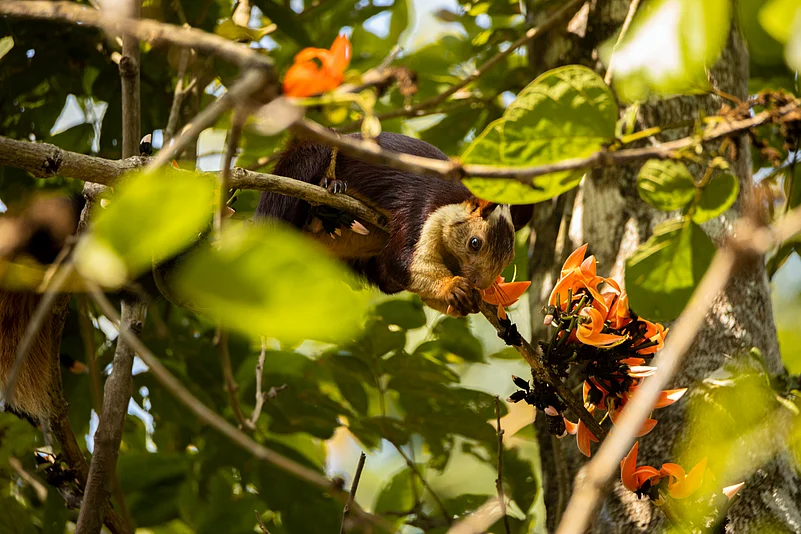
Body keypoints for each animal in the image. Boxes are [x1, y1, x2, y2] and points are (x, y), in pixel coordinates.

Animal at [255, 132, 533, 317]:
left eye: (508, 258)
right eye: (474, 243)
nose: (481, 284)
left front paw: (464, 302)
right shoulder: (419, 210)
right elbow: (402, 262)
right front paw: (452, 287)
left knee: (386, 283)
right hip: (306, 163)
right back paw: (328, 196)